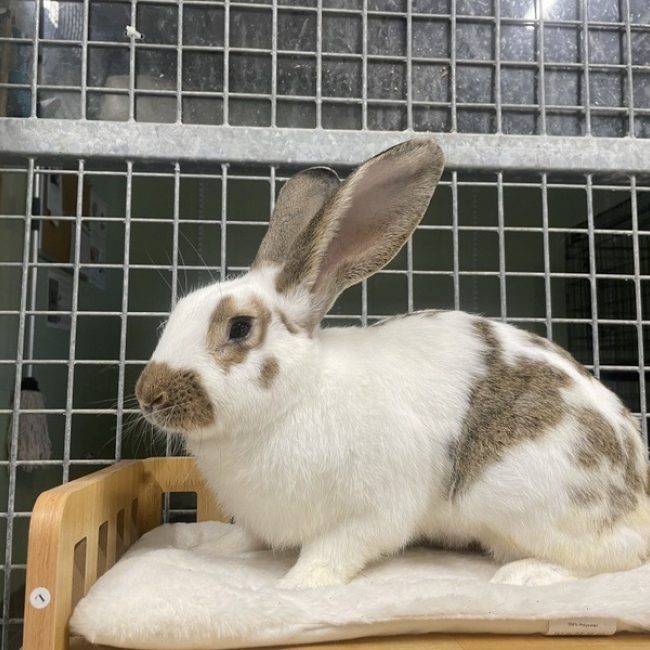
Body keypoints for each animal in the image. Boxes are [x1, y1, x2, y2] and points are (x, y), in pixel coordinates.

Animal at [136, 138, 650, 589]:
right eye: (177, 311)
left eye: (239, 328)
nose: (148, 395)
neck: (294, 398)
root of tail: (640, 490)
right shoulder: (259, 519)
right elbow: (246, 535)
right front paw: (211, 549)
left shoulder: (374, 510)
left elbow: (333, 551)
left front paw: (296, 586)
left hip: (526, 500)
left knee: (618, 557)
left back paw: (527, 575)